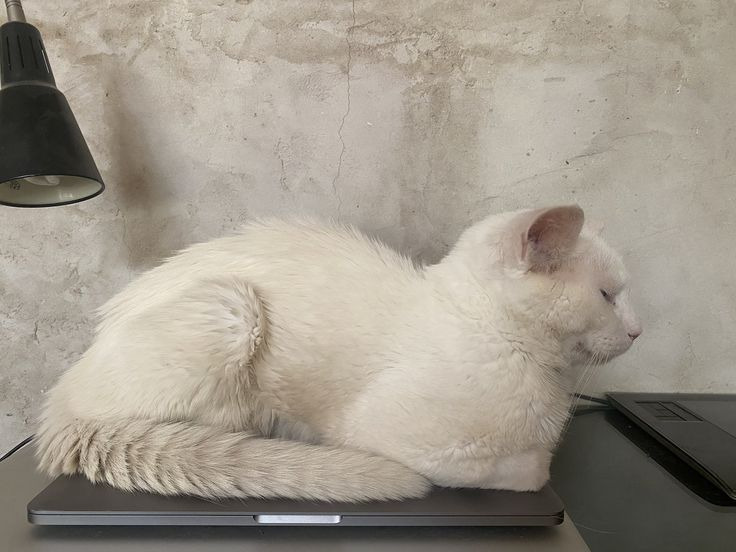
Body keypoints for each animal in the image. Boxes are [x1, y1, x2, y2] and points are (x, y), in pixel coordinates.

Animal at [35, 205, 641, 502]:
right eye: (608, 295)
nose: (639, 331)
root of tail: (58, 407)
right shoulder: (389, 438)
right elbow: (530, 470)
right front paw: (535, 463)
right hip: (231, 306)